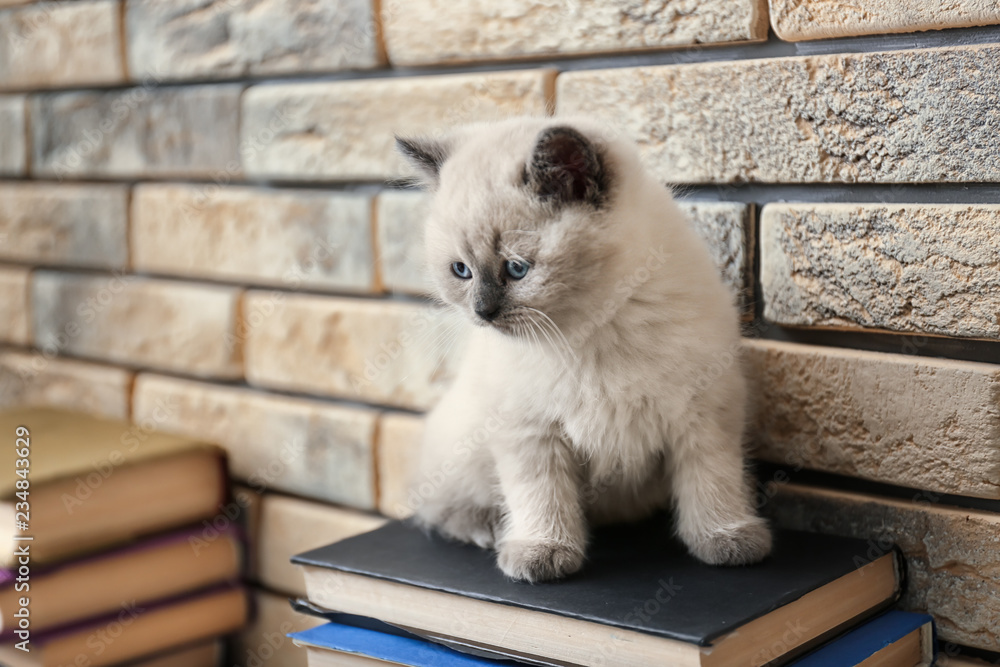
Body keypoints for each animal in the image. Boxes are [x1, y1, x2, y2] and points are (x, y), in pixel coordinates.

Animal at [394, 117, 768, 580]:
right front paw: (543, 553)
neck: (589, 329)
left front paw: (727, 540)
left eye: (517, 268)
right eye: (461, 271)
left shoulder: (705, 414)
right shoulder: (530, 429)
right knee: (436, 507)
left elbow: (713, 483)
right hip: (462, 444)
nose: (483, 312)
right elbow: (541, 495)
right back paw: (488, 531)